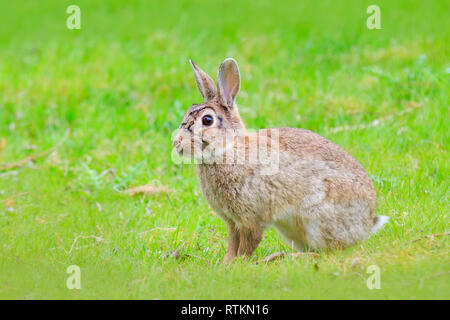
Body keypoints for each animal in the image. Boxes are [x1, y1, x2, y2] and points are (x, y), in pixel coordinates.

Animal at [173, 57, 390, 262]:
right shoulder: (233, 222)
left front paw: (239, 264)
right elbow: (232, 244)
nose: (177, 143)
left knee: (328, 253)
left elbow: (247, 244)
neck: (230, 149)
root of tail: (367, 224)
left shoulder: (252, 218)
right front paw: (227, 264)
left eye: (207, 120)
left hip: (316, 215)